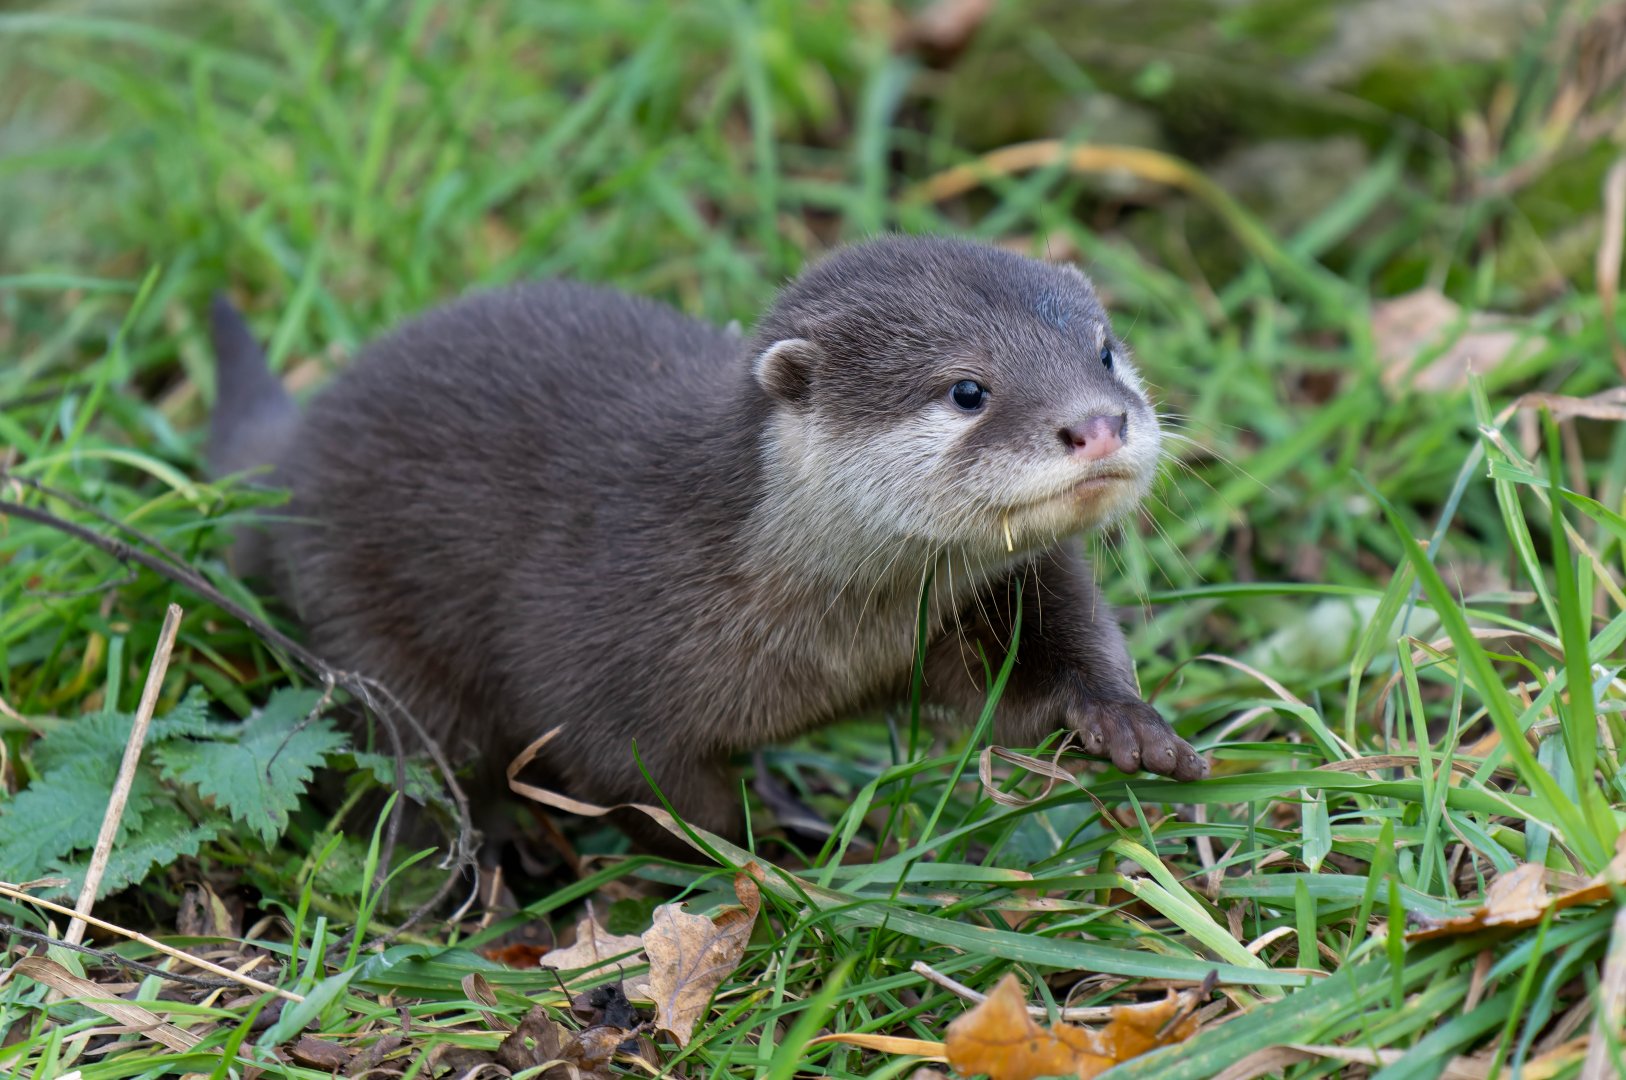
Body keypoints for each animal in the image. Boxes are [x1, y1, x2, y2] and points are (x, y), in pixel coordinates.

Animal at [208, 235, 1207, 849]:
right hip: (367, 620)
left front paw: (1130, 724)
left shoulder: (1001, 598)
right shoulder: (596, 654)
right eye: (968, 389)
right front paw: (783, 863)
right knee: (412, 773)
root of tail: (290, 457)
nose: (1098, 423)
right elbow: (641, 785)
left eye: (1105, 350)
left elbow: (1038, 682)